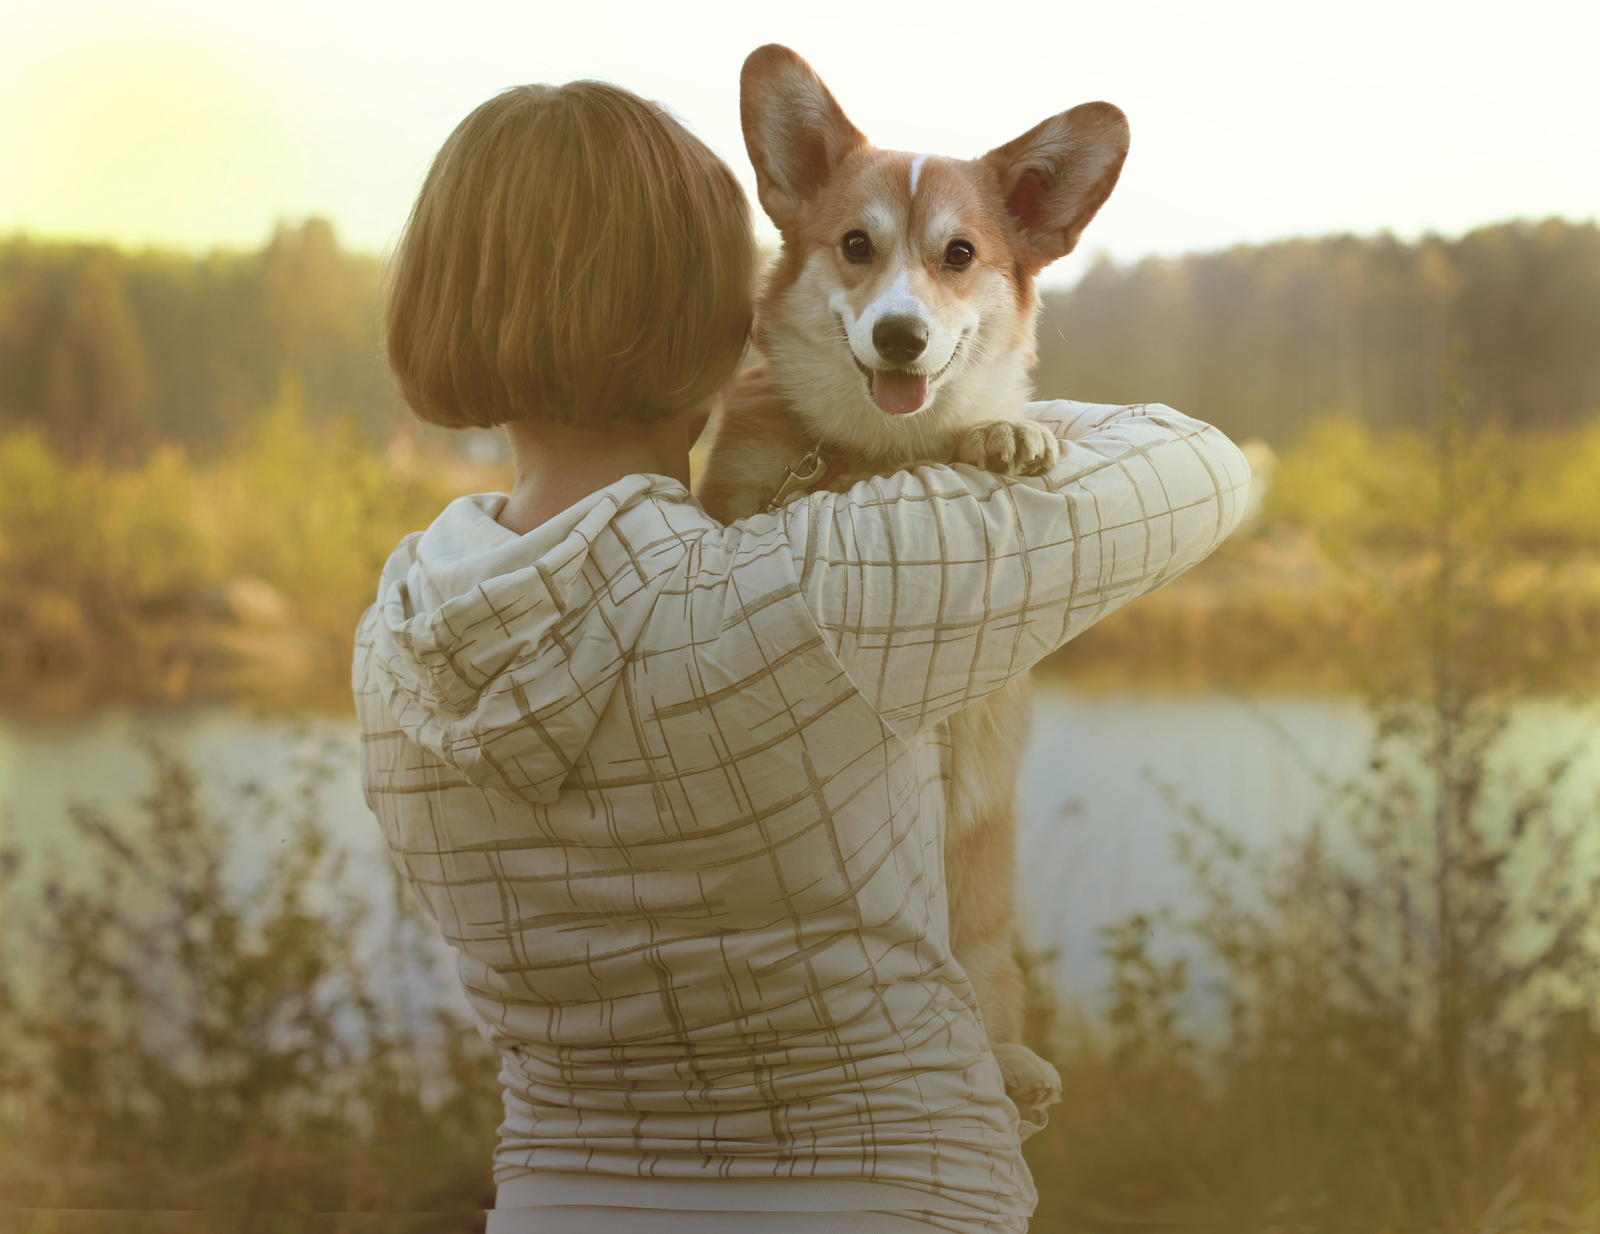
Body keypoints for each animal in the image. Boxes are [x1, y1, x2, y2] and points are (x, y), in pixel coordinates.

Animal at [694, 43, 1132, 1126]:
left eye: (959, 255)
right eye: (856, 245)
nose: (898, 337)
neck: (869, 452)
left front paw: (1003, 434)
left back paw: (1012, 1066)